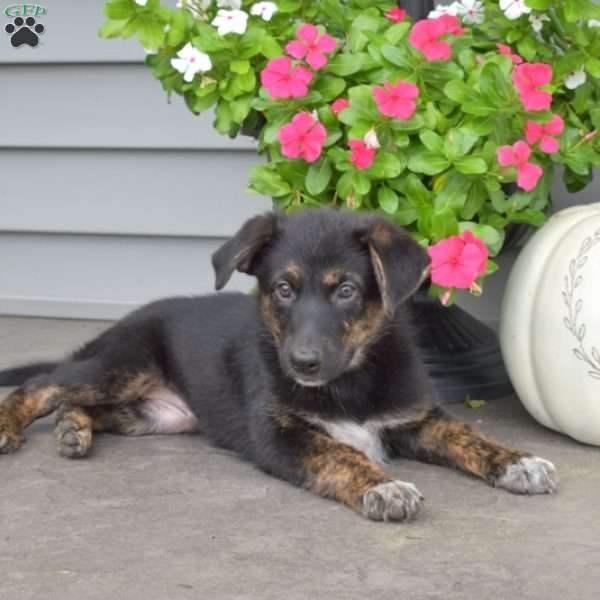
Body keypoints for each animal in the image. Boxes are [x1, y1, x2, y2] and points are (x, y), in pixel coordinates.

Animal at [0, 210, 556, 520]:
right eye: (283, 289)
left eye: (347, 291)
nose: (302, 363)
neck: (349, 380)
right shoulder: (278, 432)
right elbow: (340, 453)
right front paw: (382, 486)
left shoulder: (414, 416)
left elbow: (470, 436)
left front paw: (518, 461)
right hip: (122, 364)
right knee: (42, 385)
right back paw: (14, 426)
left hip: (159, 415)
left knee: (82, 404)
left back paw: (74, 429)